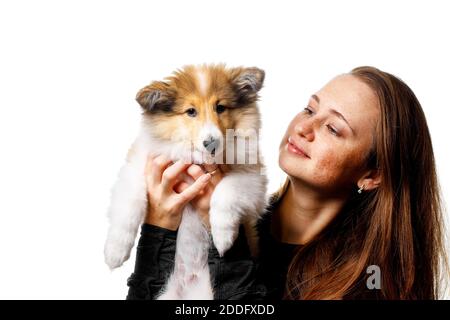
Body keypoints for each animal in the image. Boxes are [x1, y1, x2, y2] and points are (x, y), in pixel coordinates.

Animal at [103, 64, 268, 300]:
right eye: (191, 111)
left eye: (220, 107)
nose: (211, 143)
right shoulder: (137, 167)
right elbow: (130, 203)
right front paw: (115, 251)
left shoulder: (253, 179)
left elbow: (225, 190)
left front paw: (223, 237)